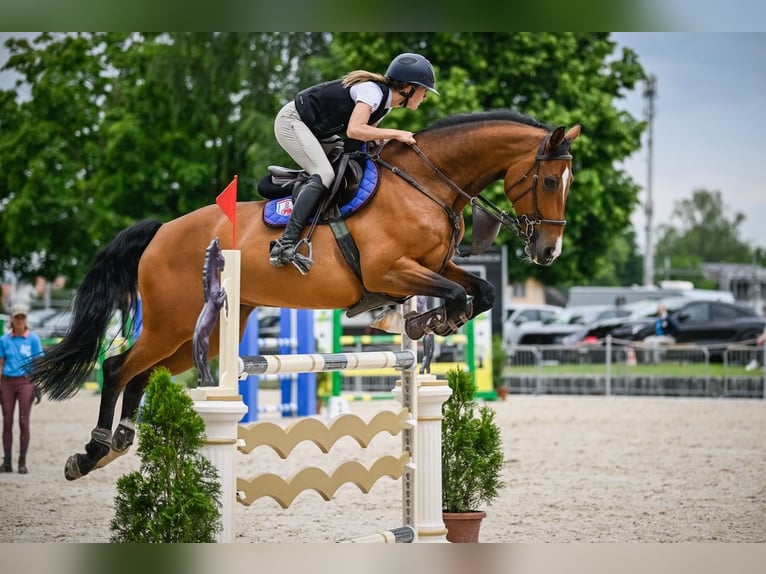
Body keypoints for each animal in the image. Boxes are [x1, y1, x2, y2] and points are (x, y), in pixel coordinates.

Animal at [30, 109, 581, 480]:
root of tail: (162, 230)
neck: (425, 183)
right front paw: (428, 321)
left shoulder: (433, 265)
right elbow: (457, 294)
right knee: (117, 367)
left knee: (143, 373)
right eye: (549, 180)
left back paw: (118, 441)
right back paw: (94, 450)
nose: (548, 251)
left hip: (198, 335)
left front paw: (426, 322)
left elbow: (480, 290)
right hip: (173, 320)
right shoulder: (392, 270)